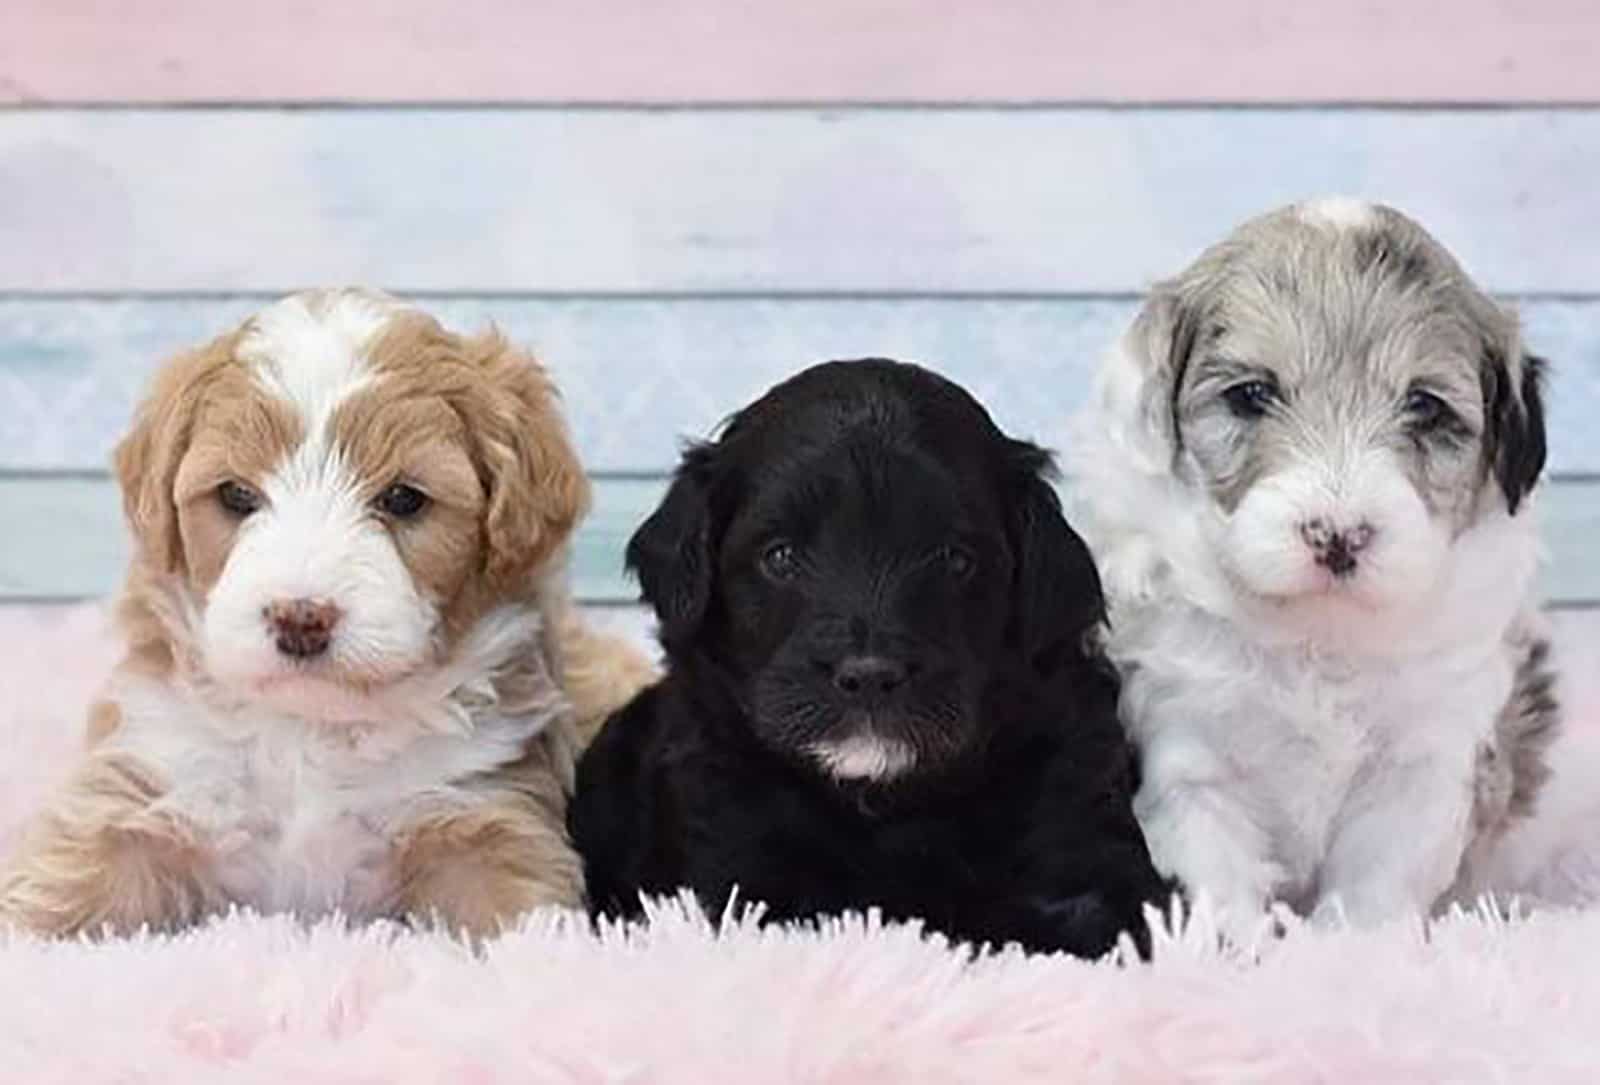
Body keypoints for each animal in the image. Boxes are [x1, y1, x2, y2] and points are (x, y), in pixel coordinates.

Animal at [3, 291, 656, 940]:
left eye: (404, 498)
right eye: (236, 495)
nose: (301, 618)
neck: (312, 730)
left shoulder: (482, 813)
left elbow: (515, 920)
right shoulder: (148, 777)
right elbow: (67, 888)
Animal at [569, 361, 1171, 953]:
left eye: (954, 559)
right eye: (780, 556)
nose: (870, 676)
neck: (885, 805)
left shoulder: (1088, 847)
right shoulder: (736, 876)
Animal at [1081, 201, 1555, 934]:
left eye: (1425, 405)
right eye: (1251, 394)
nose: (1337, 537)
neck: (1318, 635)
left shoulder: (1421, 768)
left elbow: (1375, 883)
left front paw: (1354, 946)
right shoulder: (1186, 752)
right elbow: (1213, 867)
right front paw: (1228, 944)